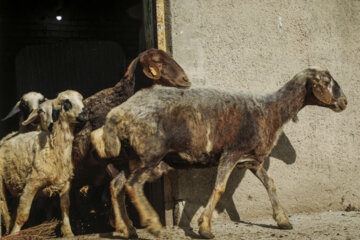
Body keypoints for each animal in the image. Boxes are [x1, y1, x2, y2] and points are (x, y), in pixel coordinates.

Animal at [91, 66, 348, 238]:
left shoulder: (250, 160)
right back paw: (151, 223)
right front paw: (205, 227)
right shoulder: (231, 153)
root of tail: (118, 113)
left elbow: (270, 183)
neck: (270, 111)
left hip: (131, 158)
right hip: (150, 155)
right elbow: (219, 187)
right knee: (132, 185)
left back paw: (127, 229)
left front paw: (283, 219)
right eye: (327, 81)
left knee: (116, 185)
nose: (345, 102)